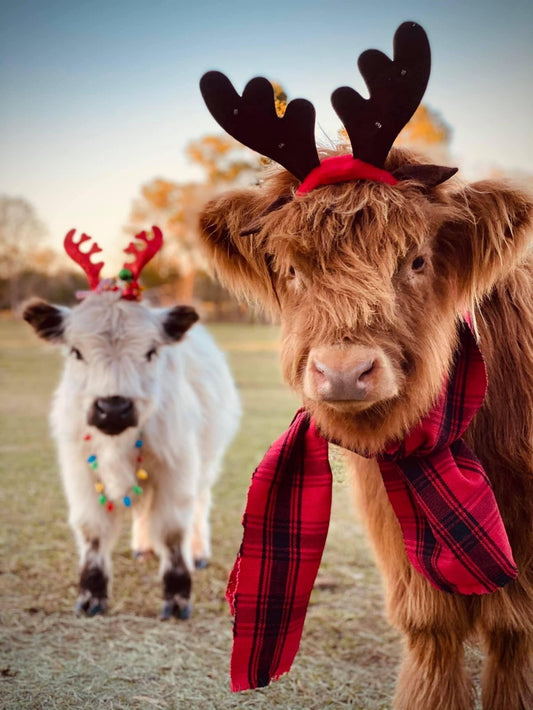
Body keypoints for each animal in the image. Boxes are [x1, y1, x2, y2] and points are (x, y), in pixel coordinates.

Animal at [23, 227, 241, 620]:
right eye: (75, 351)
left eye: (151, 351)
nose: (113, 408)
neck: (117, 442)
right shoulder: (80, 469)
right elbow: (93, 530)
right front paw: (91, 595)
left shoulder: (177, 466)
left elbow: (172, 530)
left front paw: (177, 597)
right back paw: (142, 547)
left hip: (207, 460)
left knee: (200, 502)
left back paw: (198, 552)